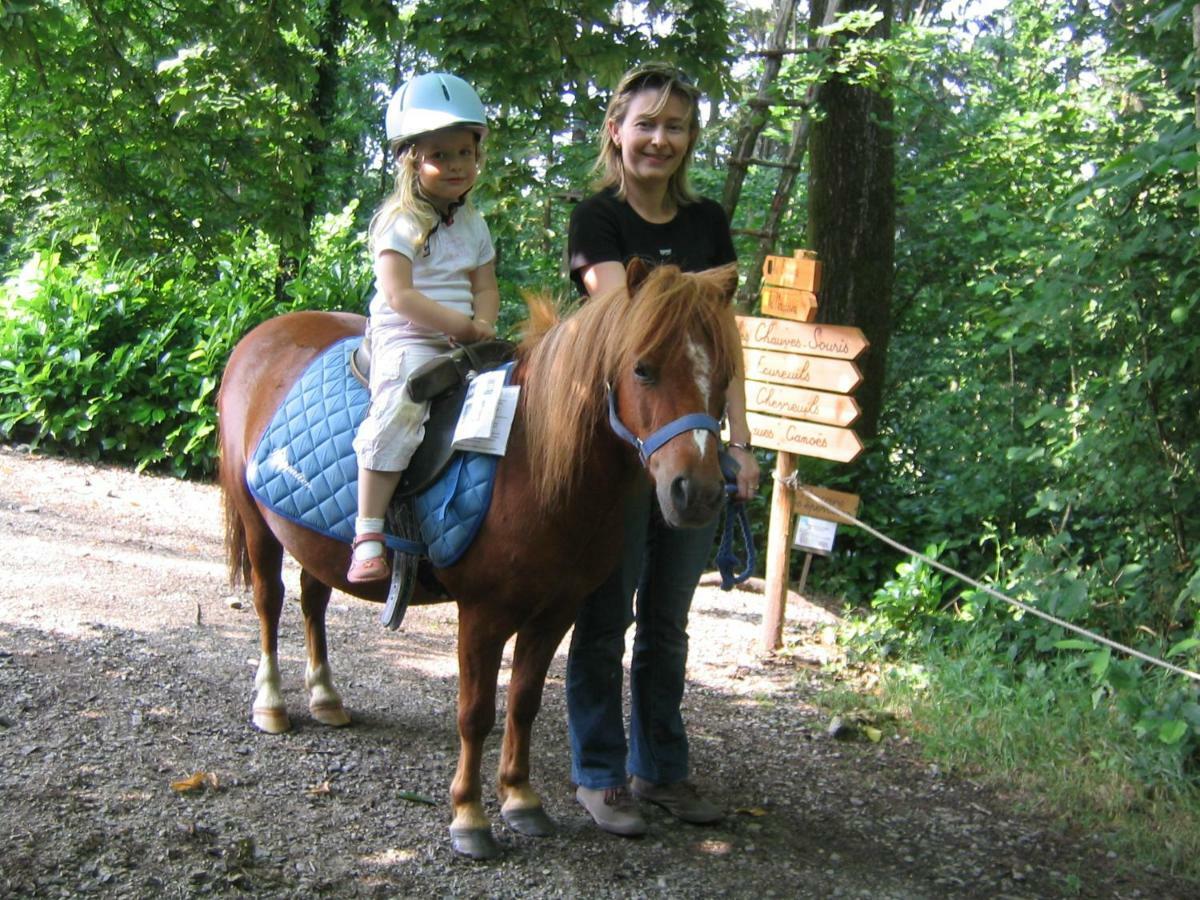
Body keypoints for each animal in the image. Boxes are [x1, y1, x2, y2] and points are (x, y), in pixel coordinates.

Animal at [217, 260, 739, 859]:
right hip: (258, 525)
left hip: (310, 535)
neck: (533, 460)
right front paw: (469, 816)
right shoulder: (483, 615)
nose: (697, 493)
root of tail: (261, 336)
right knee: (269, 602)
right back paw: (271, 704)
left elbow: (524, 703)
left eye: (726, 375)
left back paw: (325, 697)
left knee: (312, 601)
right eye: (643, 369)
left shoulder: (555, 614)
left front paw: (521, 799)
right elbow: (475, 714)